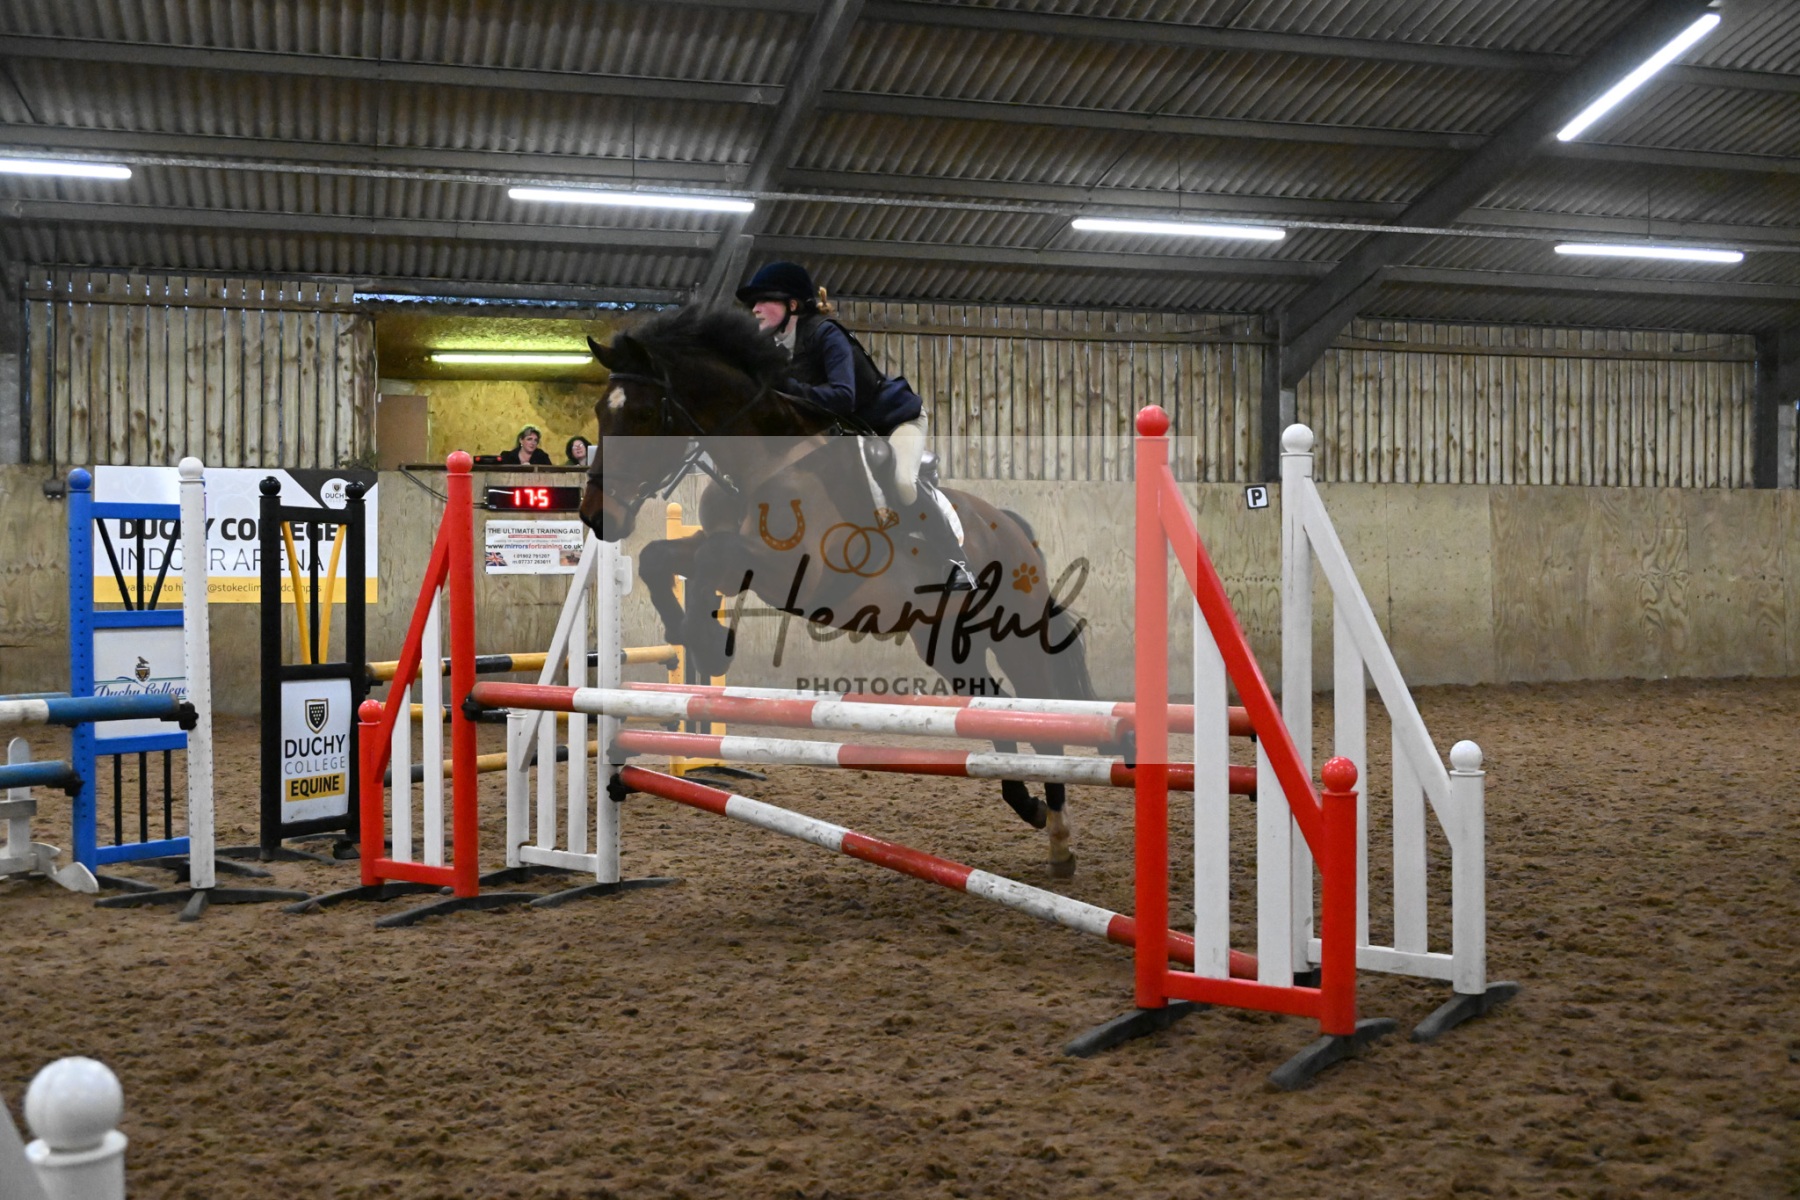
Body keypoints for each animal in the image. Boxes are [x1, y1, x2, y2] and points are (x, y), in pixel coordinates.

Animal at [581, 307, 1104, 878]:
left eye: (643, 416)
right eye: (600, 413)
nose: (595, 517)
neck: (764, 463)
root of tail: (1012, 527)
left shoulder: (797, 572)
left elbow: (710, 560)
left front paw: (710, 640)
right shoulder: (733, 553)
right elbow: (662, 558)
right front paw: (693, 633)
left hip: (1015, 635)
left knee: (1043, 721)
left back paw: (1060, 840)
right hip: (946, 643)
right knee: (990, 707)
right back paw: (1029, 808)